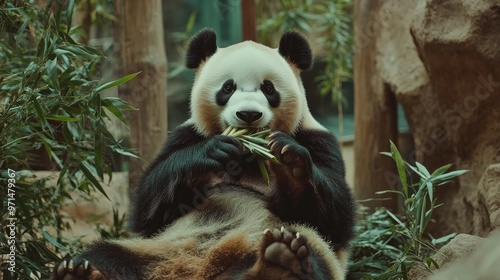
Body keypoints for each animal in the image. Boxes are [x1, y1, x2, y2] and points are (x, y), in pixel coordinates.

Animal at [53, 28, 356, 280]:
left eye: (268, 88)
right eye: (228, 87)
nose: (248, 114)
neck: (248, 155)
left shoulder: (319, 140)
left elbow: (334, 220)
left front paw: (288, 158)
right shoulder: (184, 136)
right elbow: (148, 209)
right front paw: (213, 151)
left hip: (280, 243)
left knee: (308, 249)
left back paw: (280, 263)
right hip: (153, 250)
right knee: (103, 254)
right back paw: (79, 273)